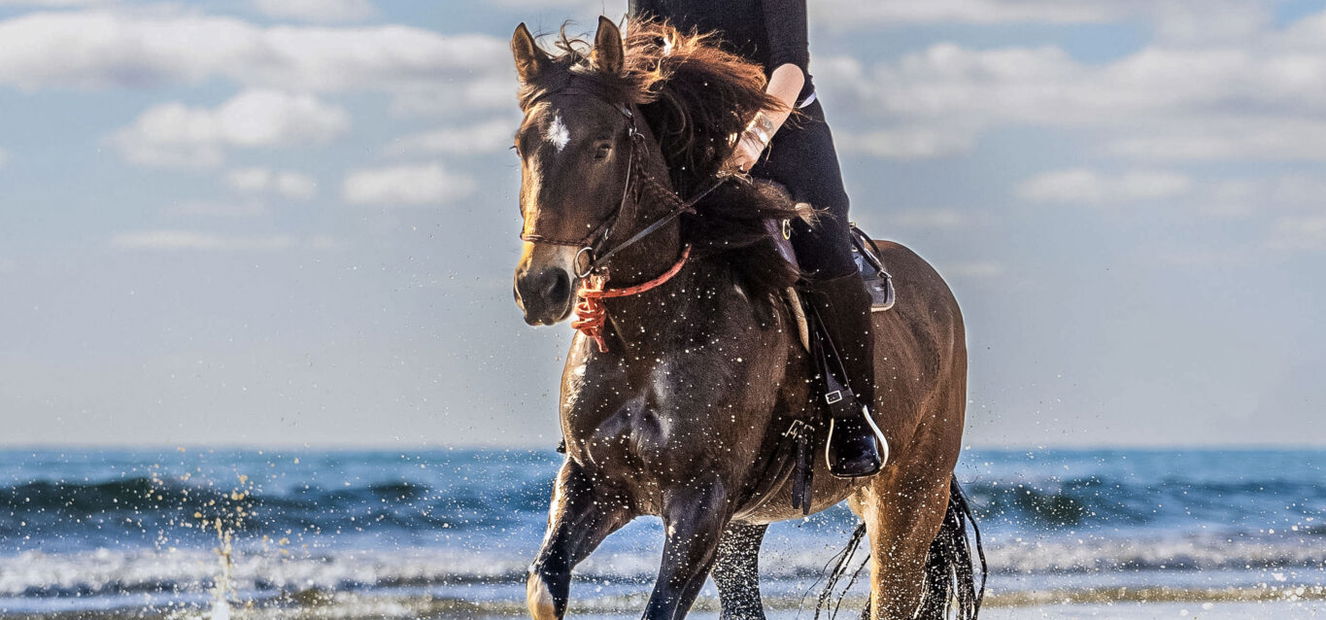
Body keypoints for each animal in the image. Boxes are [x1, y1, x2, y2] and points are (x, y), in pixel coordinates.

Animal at [509, 16, 981, 620]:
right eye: (521, 145)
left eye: (602, 148)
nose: (540, 287)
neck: (651, 333)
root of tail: (938, 291)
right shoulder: (594, 482)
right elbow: (544, 584)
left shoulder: (701, 498)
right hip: (748, 524)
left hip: (909, 498)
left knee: (893, 593)